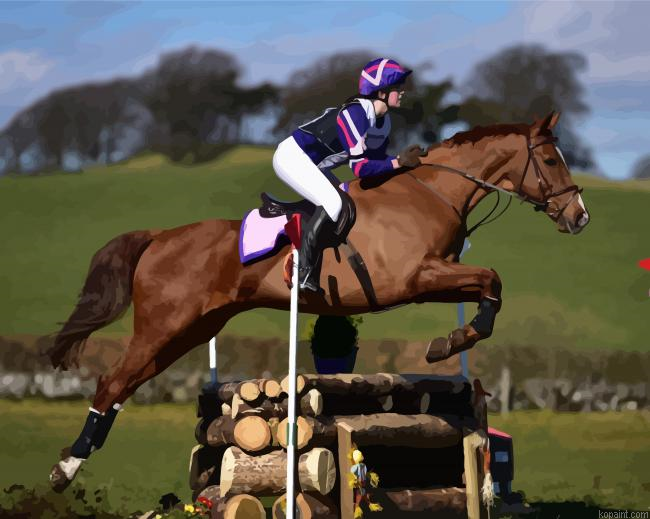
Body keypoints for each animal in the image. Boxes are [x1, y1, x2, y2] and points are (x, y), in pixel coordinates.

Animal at [46, 111, 589, 490]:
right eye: (550, 160)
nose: (579, 216)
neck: (432, 193)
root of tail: (160, 237)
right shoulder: (416, 277)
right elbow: (491, 279)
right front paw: (450, 343)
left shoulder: (434, 278)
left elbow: (488, 285)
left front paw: (453, 339)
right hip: (164, 326)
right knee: (112, 381)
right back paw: (65, 469)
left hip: (189, 331)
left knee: (126, 384)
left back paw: (74, 461)